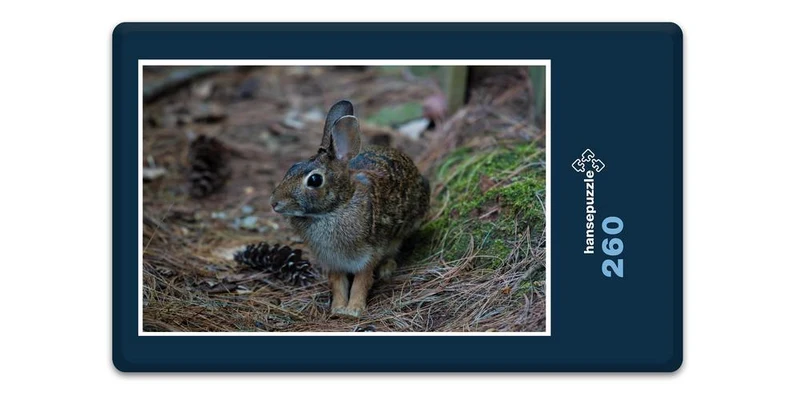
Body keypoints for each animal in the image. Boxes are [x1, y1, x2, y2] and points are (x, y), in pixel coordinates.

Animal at [270, 100, 430, 318]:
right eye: (292, 167)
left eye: (314, 180)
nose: (274, 202)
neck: (335, 209)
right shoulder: (333, 262)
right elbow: (338, 283)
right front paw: (338, 308)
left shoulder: (368, 255)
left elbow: (361, 282)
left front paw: (354, 310)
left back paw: (387, 269)